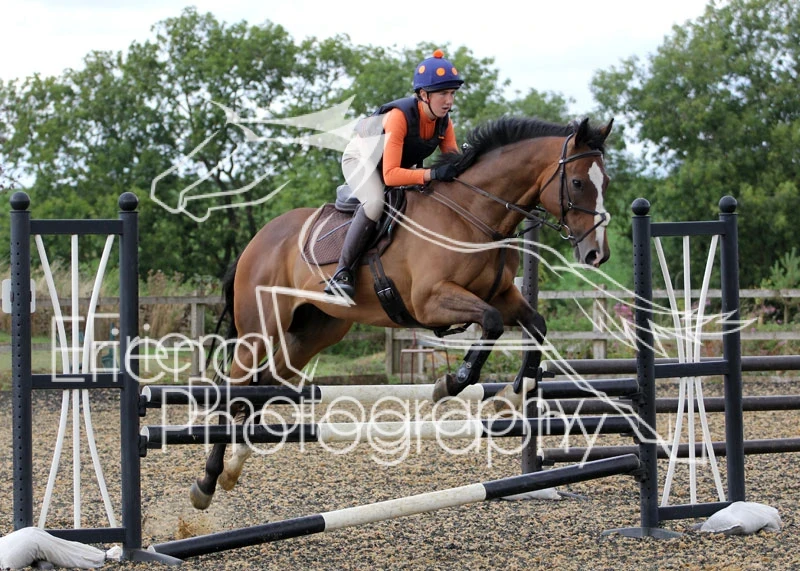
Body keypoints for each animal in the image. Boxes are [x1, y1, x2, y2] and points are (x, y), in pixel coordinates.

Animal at [189, 115, 615, 510]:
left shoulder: (503, 294)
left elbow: (535, 326)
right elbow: (491, 324)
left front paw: (510, 395)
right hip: (259, 329)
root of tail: (257, 240)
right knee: (235, 389)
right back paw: (206, 483)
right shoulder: (430, 301)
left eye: (606, 182)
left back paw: (235, 466)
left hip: (312, 332)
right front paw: (452, 382)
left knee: (262, 386)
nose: (596, 254)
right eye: (579, 183)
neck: (474, 213)